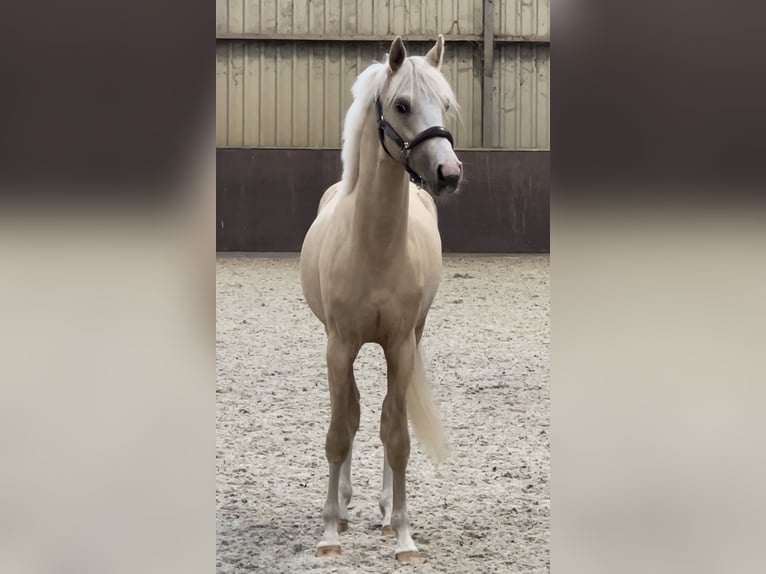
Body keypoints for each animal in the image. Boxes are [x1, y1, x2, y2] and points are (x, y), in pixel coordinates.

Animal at [299, 35, 463, 564]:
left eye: (445, 104)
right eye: (402, 105)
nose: (449, 173)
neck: (374, 244)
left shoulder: (400, 346)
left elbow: (396, 435)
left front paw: (404, 533)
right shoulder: (339, 347)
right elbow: (338, 430)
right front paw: (329, 531)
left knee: (391, 415)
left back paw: (387, 509)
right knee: (351, 412)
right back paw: (346, 505)